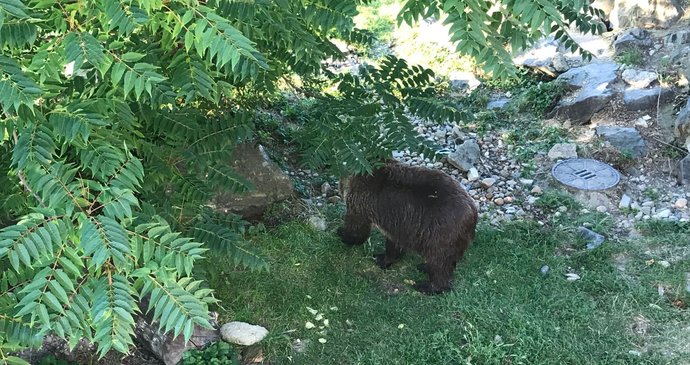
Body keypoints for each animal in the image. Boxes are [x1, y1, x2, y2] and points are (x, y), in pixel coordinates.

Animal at [336, 161, 476, 294]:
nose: (339, 190)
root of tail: (473, 212)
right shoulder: (400, 223)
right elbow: (394, 244)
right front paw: (384, 258)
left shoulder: (362, 202)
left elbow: (357, 228)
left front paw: (343, 234)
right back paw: (424, 267)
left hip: (442, 232)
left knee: (438, 262)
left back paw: (428, 286)